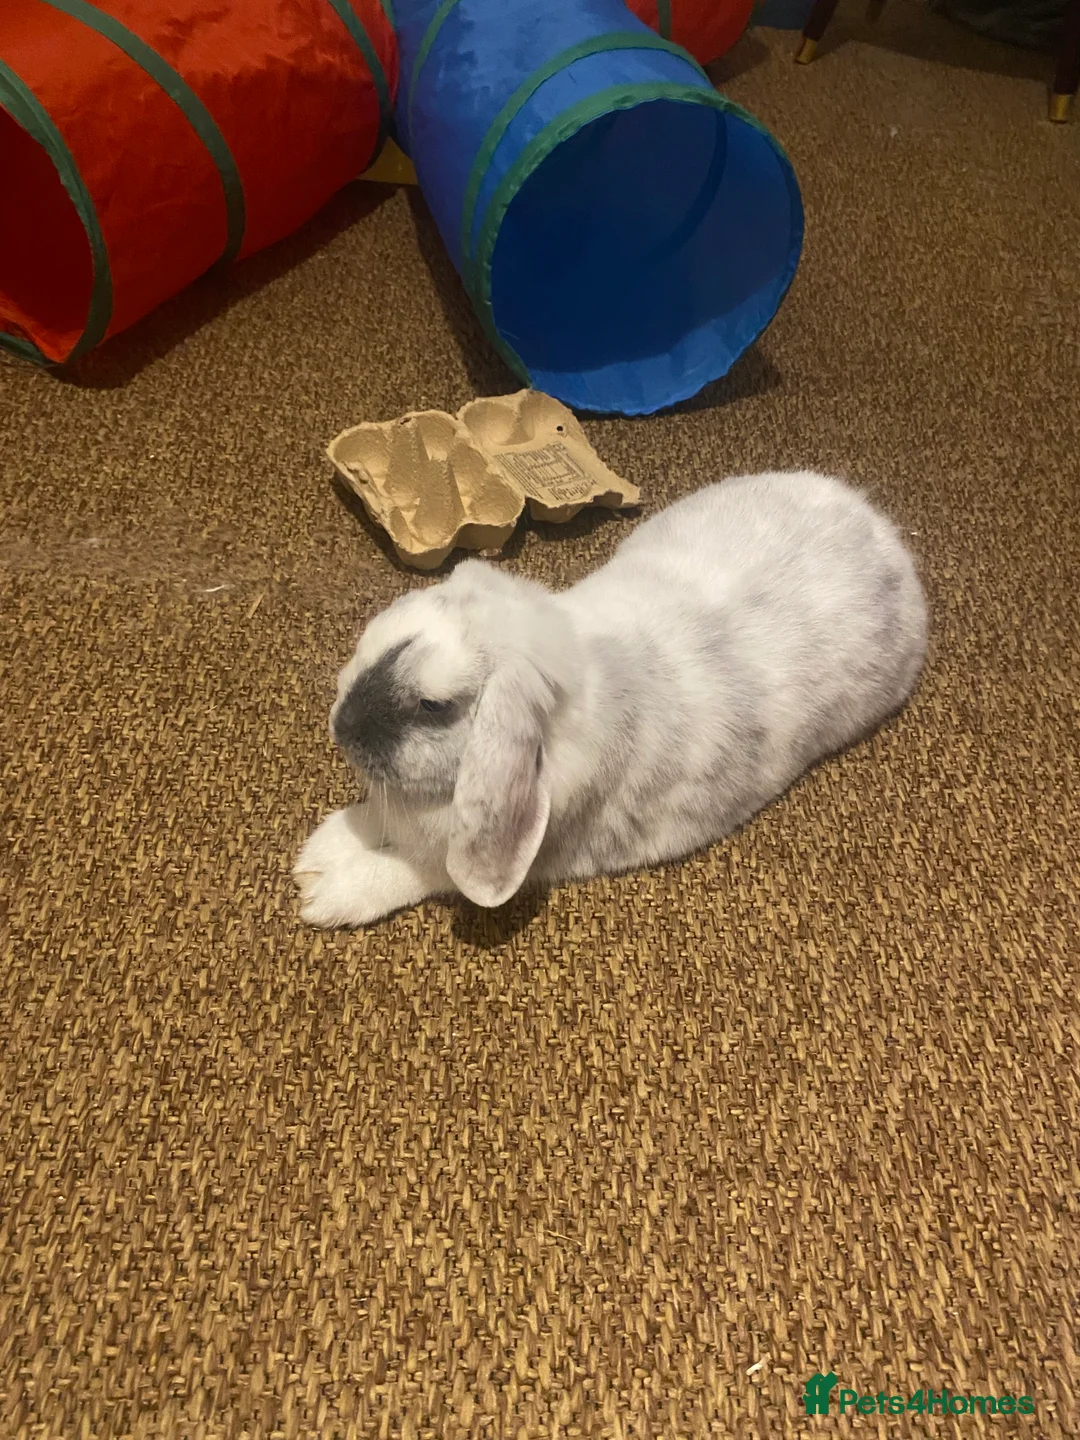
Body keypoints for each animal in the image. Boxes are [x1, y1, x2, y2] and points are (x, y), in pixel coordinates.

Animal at [294, 470, 927, 928]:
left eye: (435, 706)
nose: (340, 726)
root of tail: (885, 535)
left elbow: (427, 869)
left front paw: (323, 887)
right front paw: (319, 853)